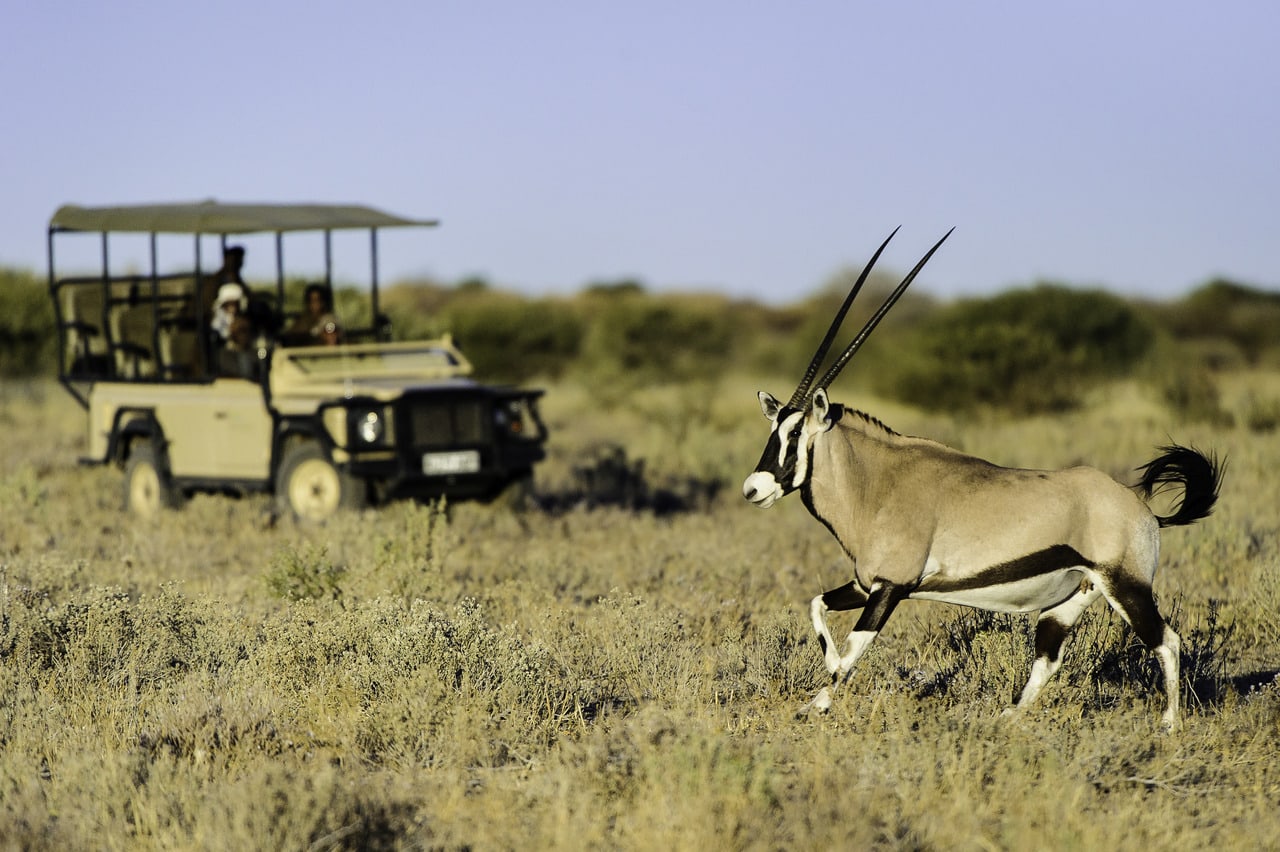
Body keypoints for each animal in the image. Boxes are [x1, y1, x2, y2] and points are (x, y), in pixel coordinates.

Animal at [747, 228, 1223, 726]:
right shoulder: (865, 584)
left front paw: (817, 702)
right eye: (773, 429)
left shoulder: (891, 588)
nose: (753, 489)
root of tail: (1146, 512)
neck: (877, 484)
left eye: (795, 432)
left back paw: (1169, 725)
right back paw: (1007, 718)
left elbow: (853, 653)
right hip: (1068, 601)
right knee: (1049, 658)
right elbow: (818, 608)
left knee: (1166, 641)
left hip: (1126, 587)